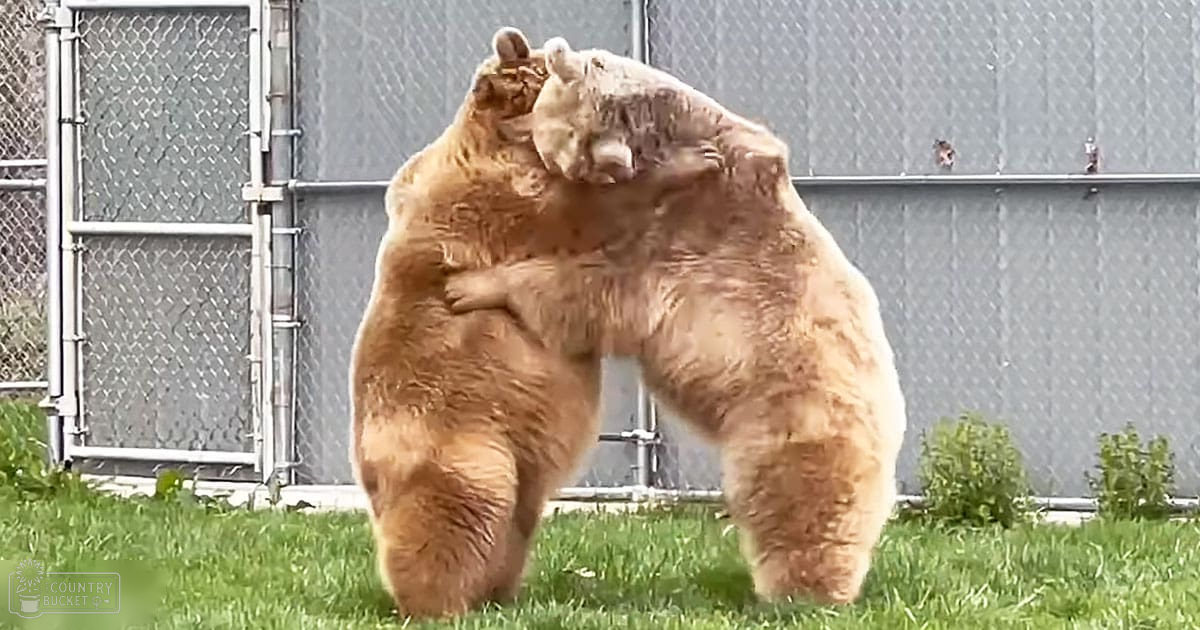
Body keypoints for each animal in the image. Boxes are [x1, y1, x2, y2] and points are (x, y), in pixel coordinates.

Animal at [444, 36, 908, 606]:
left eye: (562, 149)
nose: (554, 168)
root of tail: (891, 414)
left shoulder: (678, 241)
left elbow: (589, 289)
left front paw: (472, 285)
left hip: (793, 413)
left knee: (797, 500)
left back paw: (801, 590)